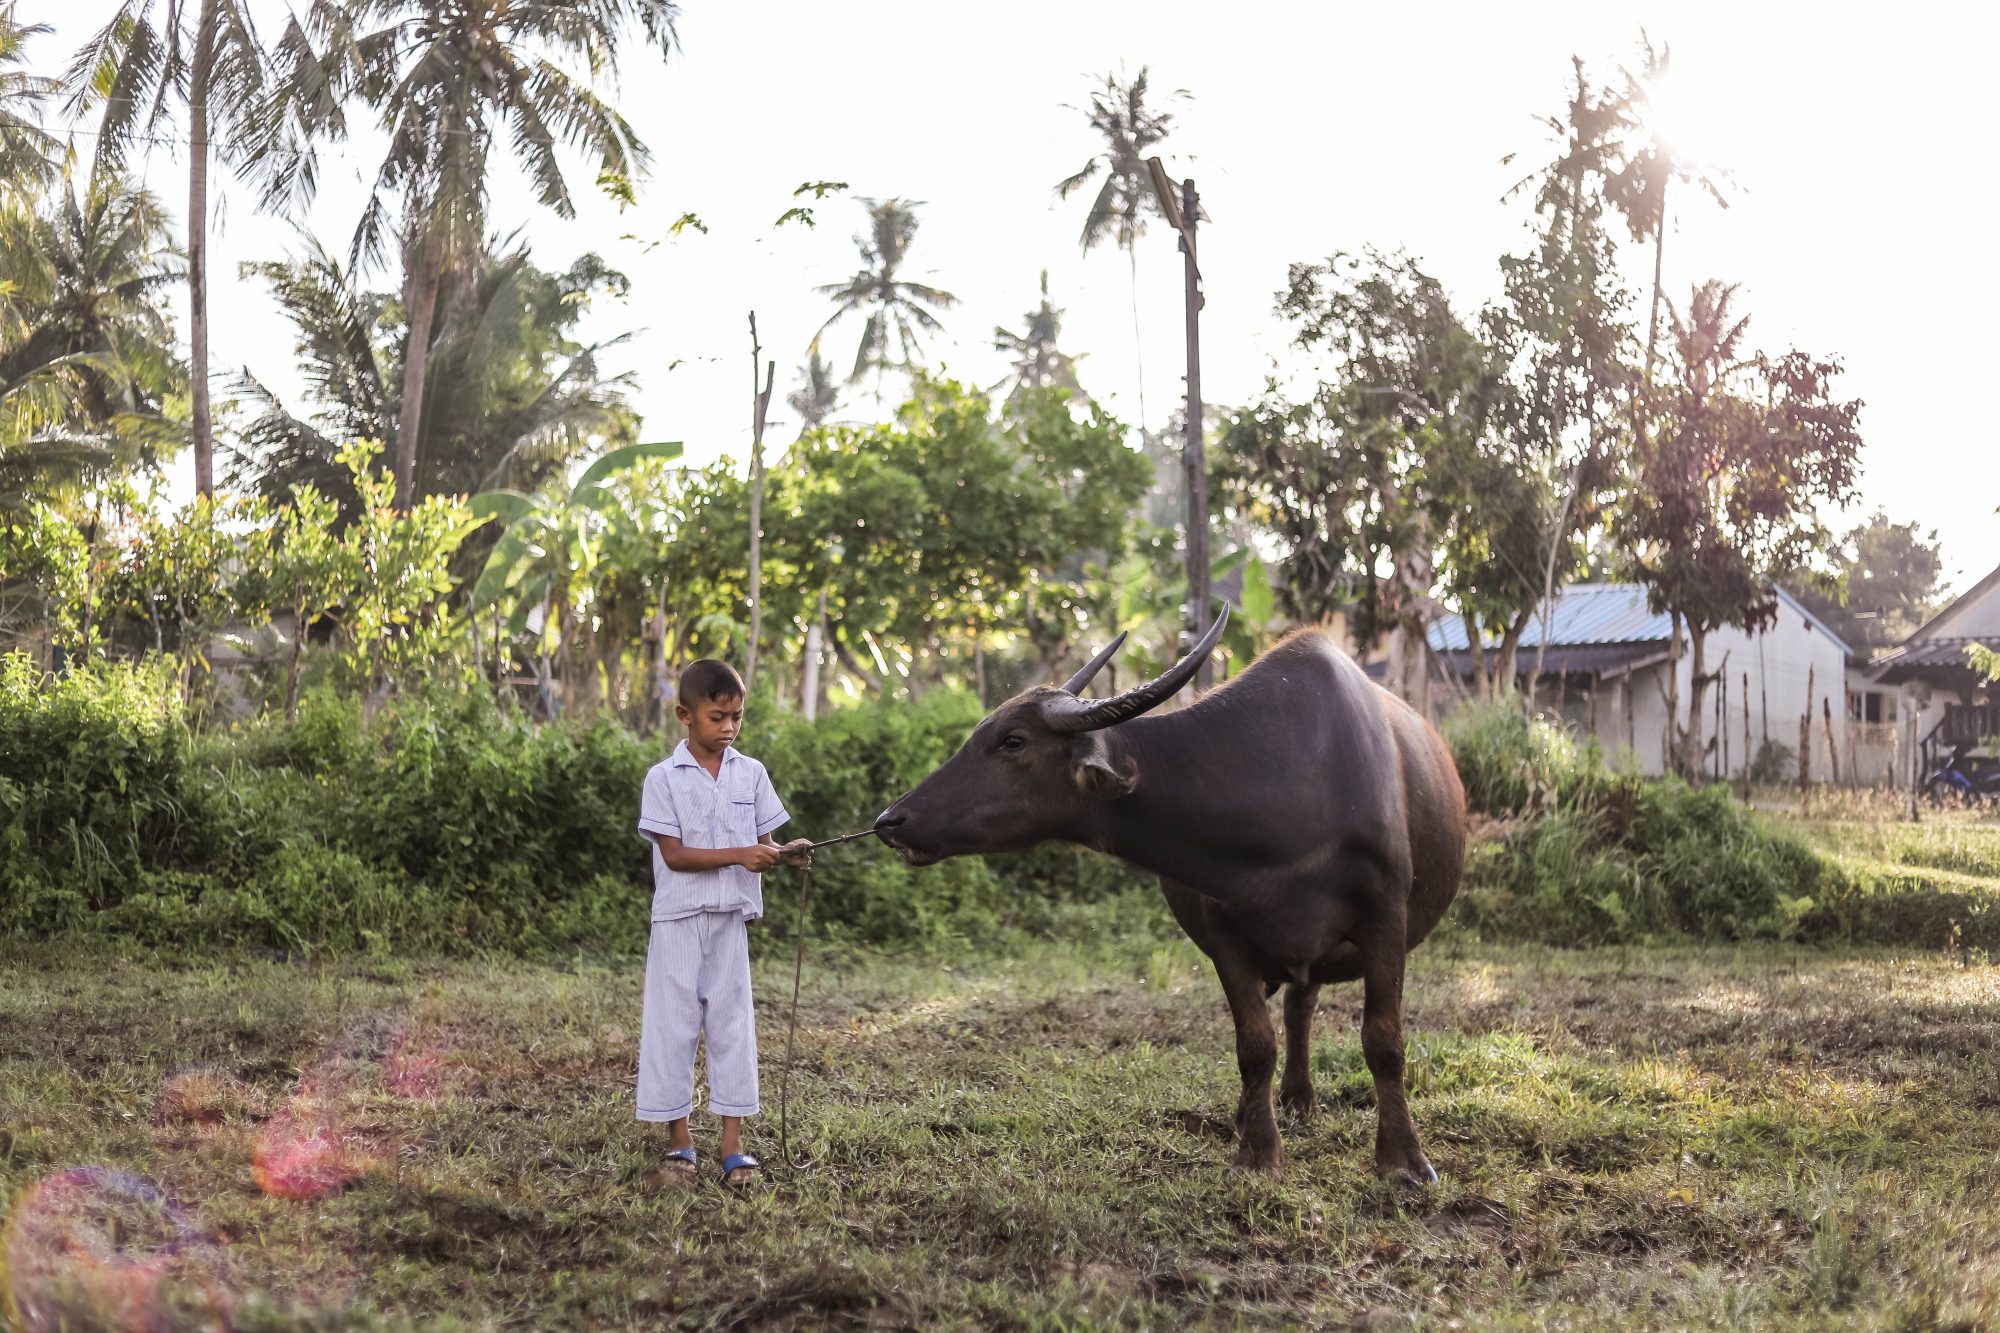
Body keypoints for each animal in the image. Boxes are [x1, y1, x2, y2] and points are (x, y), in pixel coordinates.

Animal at [876, 608, 1472, 1176]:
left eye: (1012, 740)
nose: (891, 820)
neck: (1287, 784)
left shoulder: (1385, 919)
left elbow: (1383, 1041)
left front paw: (1404, 1160)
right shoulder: (1225, 936)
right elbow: (1254, 1046)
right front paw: (1258, 1152)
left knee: (1304, 1004)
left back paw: (1299, 1101)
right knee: (1296, 1007)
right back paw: (1278, 1105)